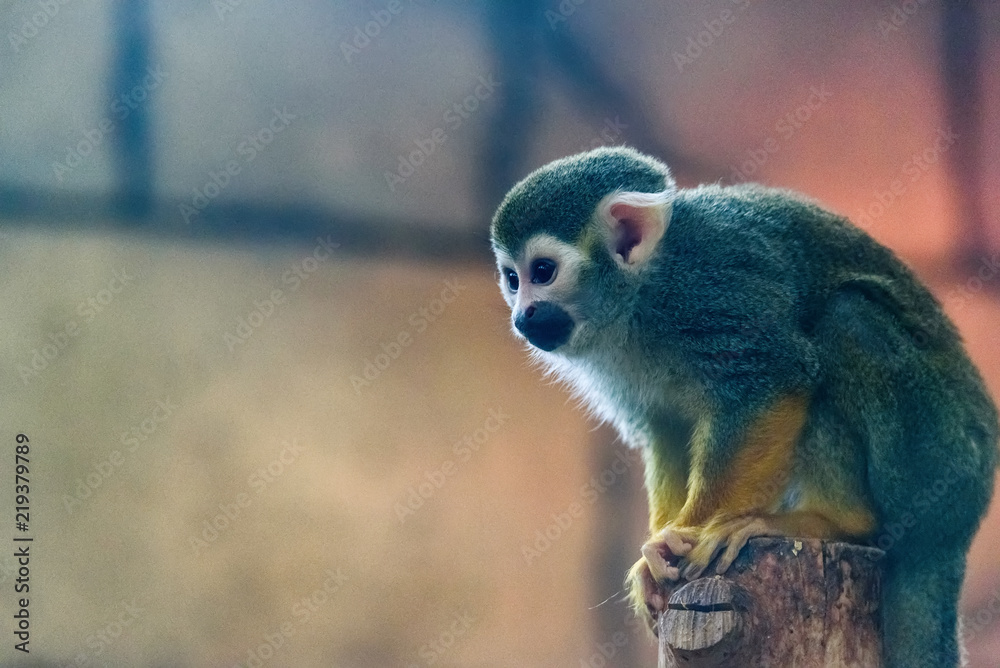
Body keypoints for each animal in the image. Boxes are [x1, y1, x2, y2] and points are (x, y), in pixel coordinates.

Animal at [490, 146, 998, 668]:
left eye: (542, 272)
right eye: (512, 280)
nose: (522, 315)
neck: (643, 293)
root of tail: (959, 526)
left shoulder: (712, 290)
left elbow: (774, 378)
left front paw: (694, 533)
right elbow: (665, 426)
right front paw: (658, 555)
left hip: (941, 460)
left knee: (849, 317)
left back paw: (837, 522)